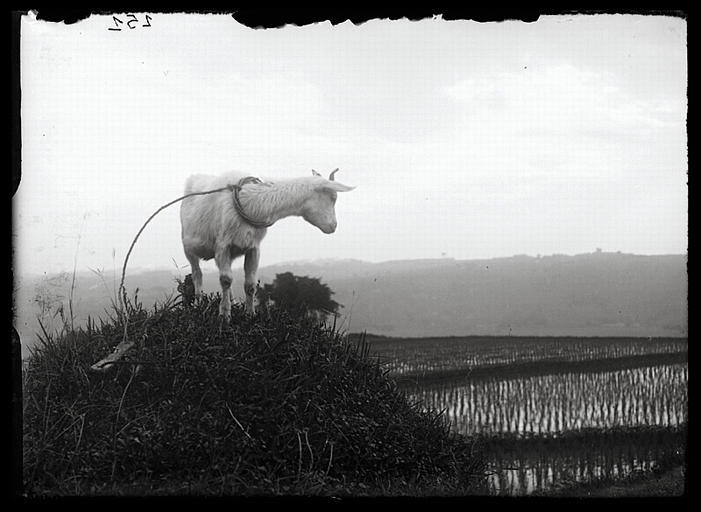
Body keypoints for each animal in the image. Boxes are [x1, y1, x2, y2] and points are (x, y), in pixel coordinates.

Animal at [179, 169, 355, 321]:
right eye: (332, 198)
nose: (333, 226)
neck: (252, 201)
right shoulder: (222, 246)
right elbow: (226, 280)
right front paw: (224, 316)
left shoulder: (253, 248)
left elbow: (250, 285)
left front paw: (250, 316)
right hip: (188, 249)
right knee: (197, 274)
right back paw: (198, 304)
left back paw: (231, 301)